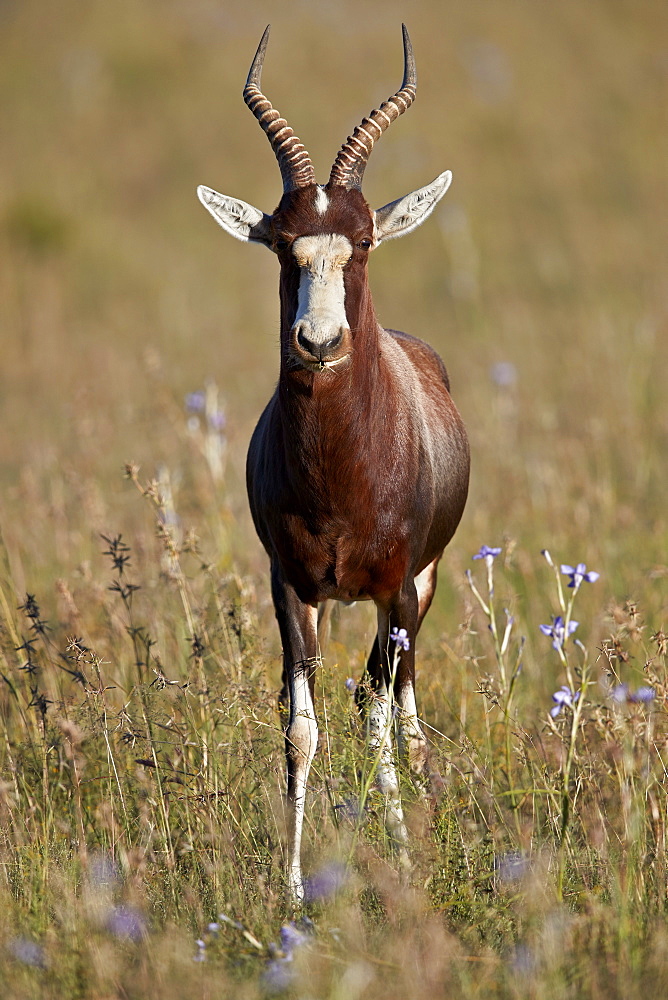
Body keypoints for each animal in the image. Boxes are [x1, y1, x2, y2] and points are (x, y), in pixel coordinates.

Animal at [198, 25, 470, 900]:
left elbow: (384, 723)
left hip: (419, 592)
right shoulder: (291, 588)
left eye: (366, 241)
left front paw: (412, 862)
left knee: (395, 708)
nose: (318, 342)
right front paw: (289, 892)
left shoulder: (395, 587)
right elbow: (301, 731)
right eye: (284, 245)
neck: (340, 477)